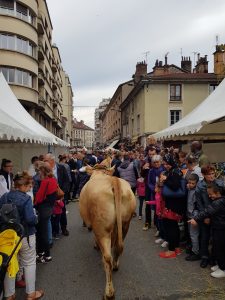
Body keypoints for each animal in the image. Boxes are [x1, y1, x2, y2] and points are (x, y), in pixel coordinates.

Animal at [79, 165, 135, 298]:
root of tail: (113, 181)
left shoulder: (95, 227)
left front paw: (95, 245)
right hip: (125, 224)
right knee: (119, 246)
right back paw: (116, 265)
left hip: (102, 229)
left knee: (107, 257)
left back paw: (109, 292)